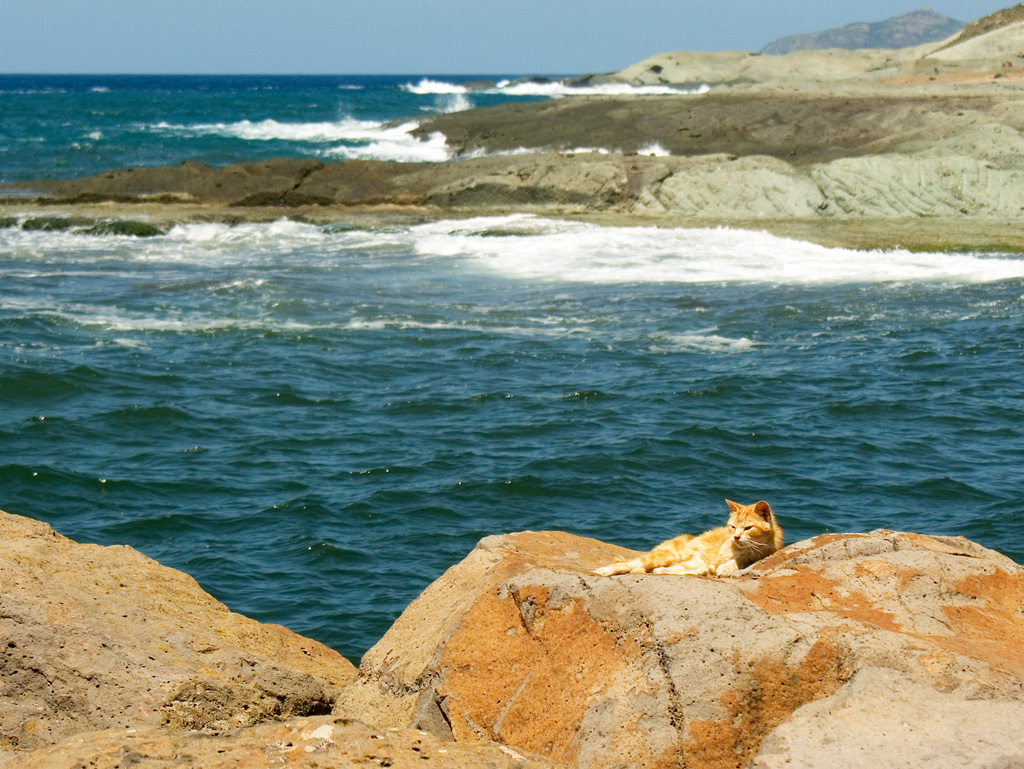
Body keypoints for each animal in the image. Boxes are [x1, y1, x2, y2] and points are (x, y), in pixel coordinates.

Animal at [593, 499, 782, 577]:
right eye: (733, 526)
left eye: (748, 528)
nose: (735, 537)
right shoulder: (708, 561)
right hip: (668, 555)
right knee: (631, 563)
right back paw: (605, 570)